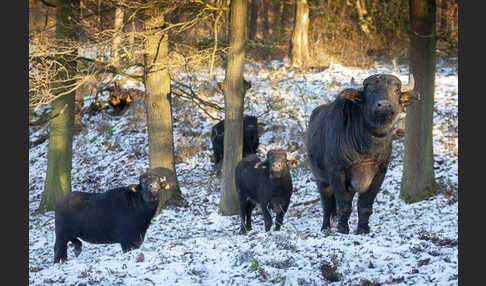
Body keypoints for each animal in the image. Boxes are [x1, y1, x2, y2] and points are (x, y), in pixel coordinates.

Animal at [308, 73, 422, 235]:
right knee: (326, 203)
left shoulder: (380, 172)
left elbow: (365, 205)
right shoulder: (337, 171)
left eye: (396, 90)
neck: (367, 147)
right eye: (370, 90)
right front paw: (342, 229)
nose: (384, 105)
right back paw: (325, 227)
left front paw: (363, 229)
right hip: (321, 179)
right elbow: (343, 205)